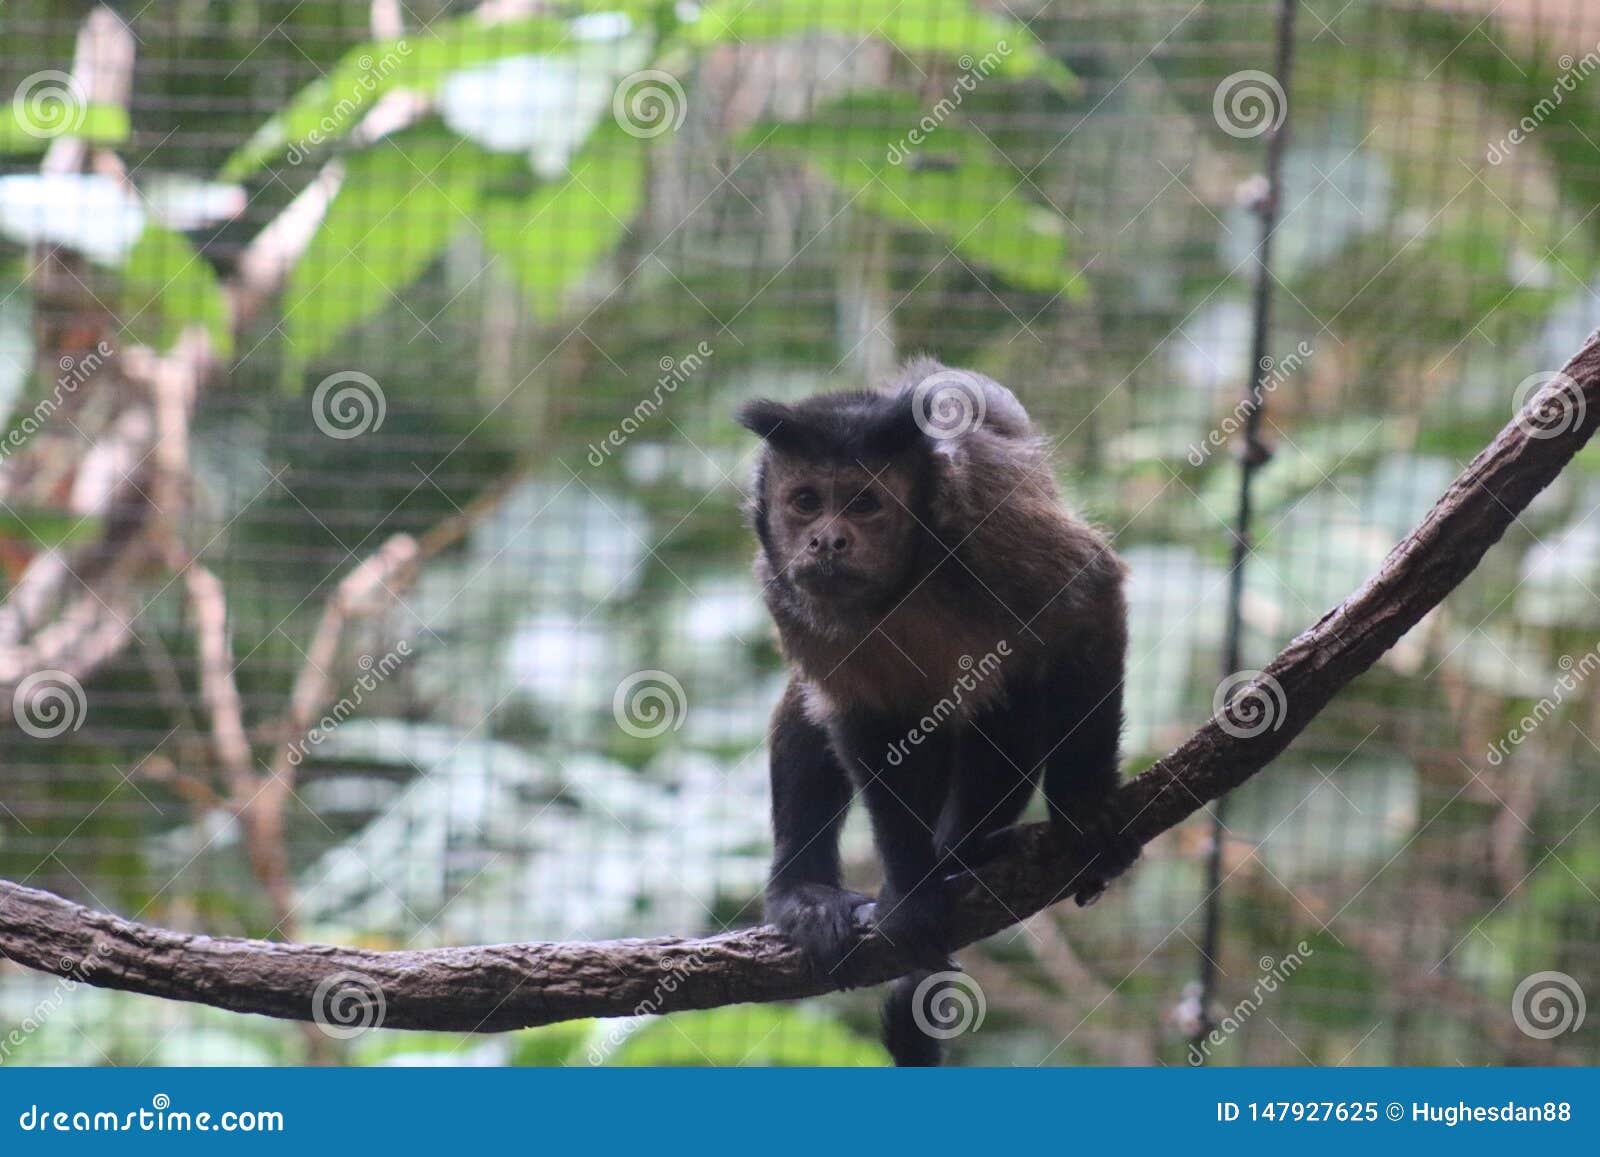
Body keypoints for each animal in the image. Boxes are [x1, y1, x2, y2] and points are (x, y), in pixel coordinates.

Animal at [737, 356, 1139, 1066]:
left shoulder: (988, 529)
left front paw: (1084, 808)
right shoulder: (782, 591)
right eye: (805, 500)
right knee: (811, 709)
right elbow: (866, 720)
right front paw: (913, 898)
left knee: (1013, 691)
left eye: (865, 503)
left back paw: (966, 850)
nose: (827, 541)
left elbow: (1088, 598)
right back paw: (808, 890)